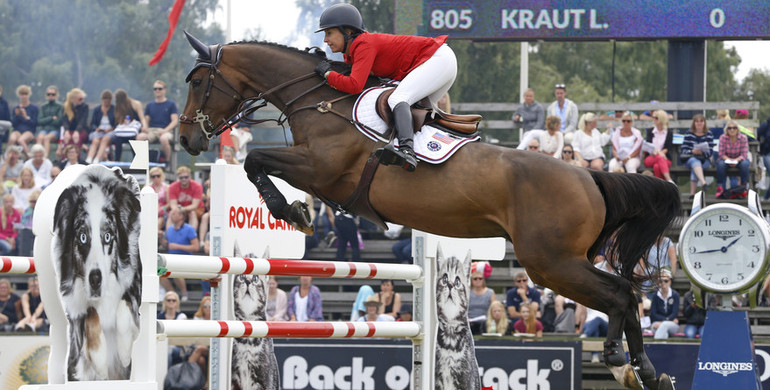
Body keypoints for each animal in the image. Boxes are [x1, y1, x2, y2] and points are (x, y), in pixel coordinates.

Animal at [178, 33, 680, 390]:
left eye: (199, 83)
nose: (186, 139)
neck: (319, 101)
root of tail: (590, 178)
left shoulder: (321, 171)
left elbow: (254, 159)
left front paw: (293, 211)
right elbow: (257, 162)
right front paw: (295, 211)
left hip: (550, 264)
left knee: (620, 295)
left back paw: (619, 361)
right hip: (562, 261)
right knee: (626, 294)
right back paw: (648, 372)